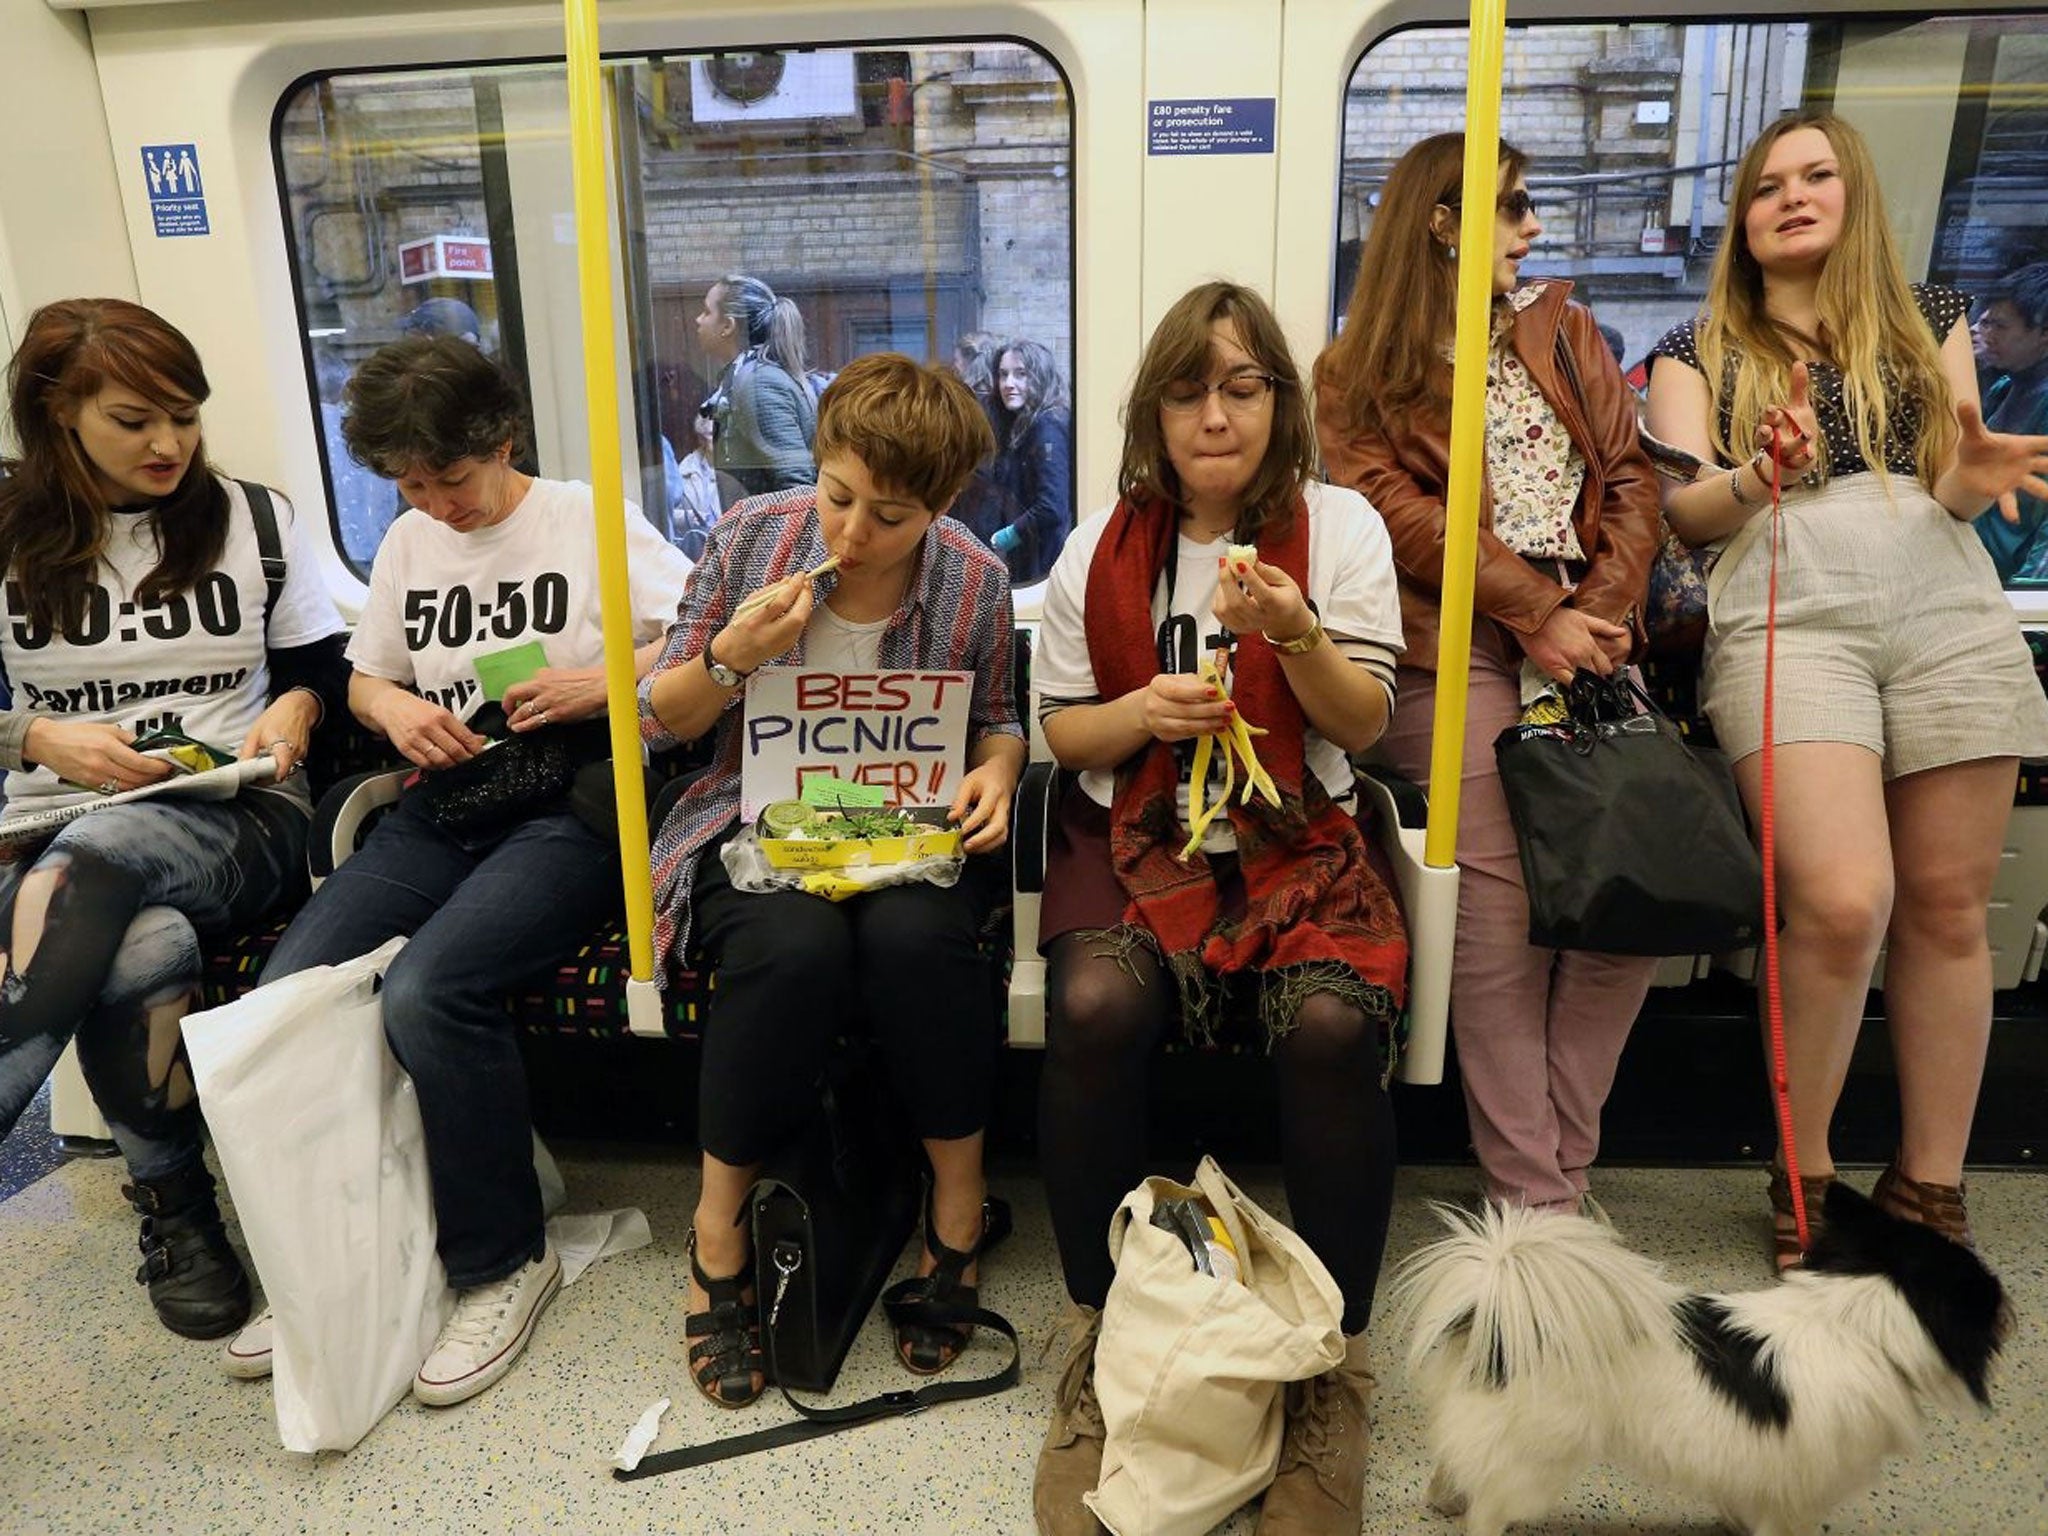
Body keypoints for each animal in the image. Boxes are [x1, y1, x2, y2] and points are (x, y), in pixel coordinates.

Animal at [1400, 1187, 2007, 1531]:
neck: (1854, 1321)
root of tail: (1496, 1312)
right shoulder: (1796, 1498)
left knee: (1452, 1465)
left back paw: (1440, 1501)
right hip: (1537, 1463)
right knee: (1487, 1511)